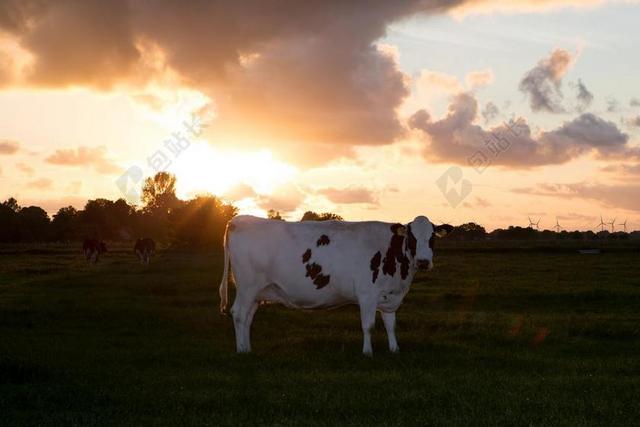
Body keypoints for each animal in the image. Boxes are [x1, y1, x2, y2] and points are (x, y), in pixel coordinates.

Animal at [220, 216, 456, 356]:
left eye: (432, 237)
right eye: (412, 237)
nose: (423, 262)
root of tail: (238, 220)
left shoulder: (389, 296)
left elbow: (390, 324)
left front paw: (394, 349)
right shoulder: (367, 294)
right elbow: (368, 325)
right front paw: (367, 352)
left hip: (257, 291)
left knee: (248, 317)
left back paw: (247, 348)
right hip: (247, 286)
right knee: (239, 314)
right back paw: (241, 351)